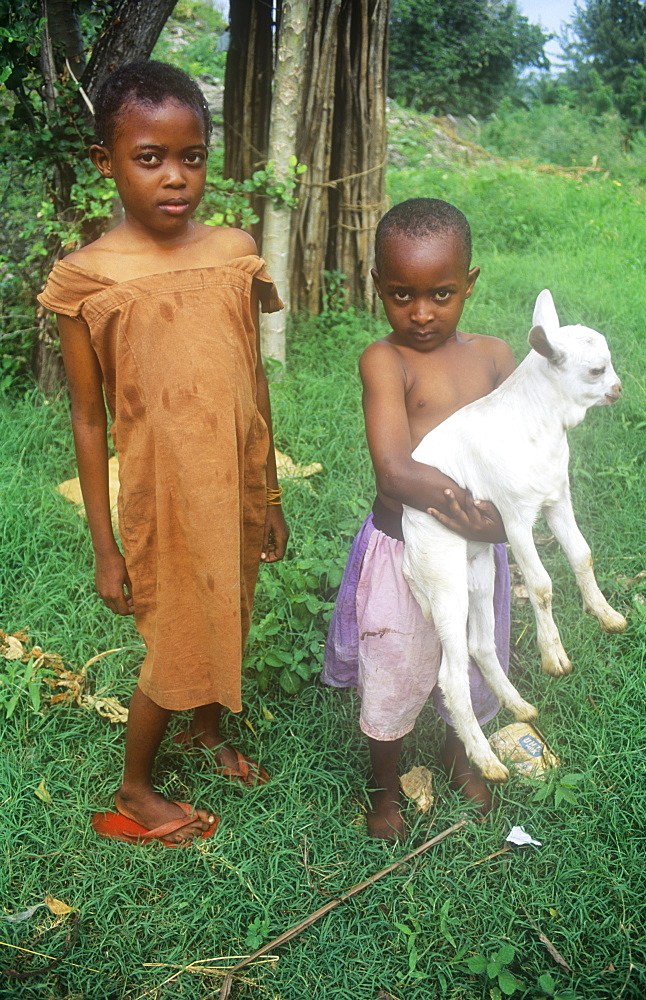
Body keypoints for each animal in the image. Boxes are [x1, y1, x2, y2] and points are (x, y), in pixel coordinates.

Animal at [404, 290, 628, 780]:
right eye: (596, 370)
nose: (619, 389)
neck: (537, 425)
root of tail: (408, 554)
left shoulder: (557, 499)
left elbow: (582, 555)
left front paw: (606, 614)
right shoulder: (512, 517)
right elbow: (541, 584)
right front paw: (554, 657)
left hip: (479, 567)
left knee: (480, 643)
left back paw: (519, 707)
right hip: (443, 574)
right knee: (450, 675)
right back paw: (486, 760)